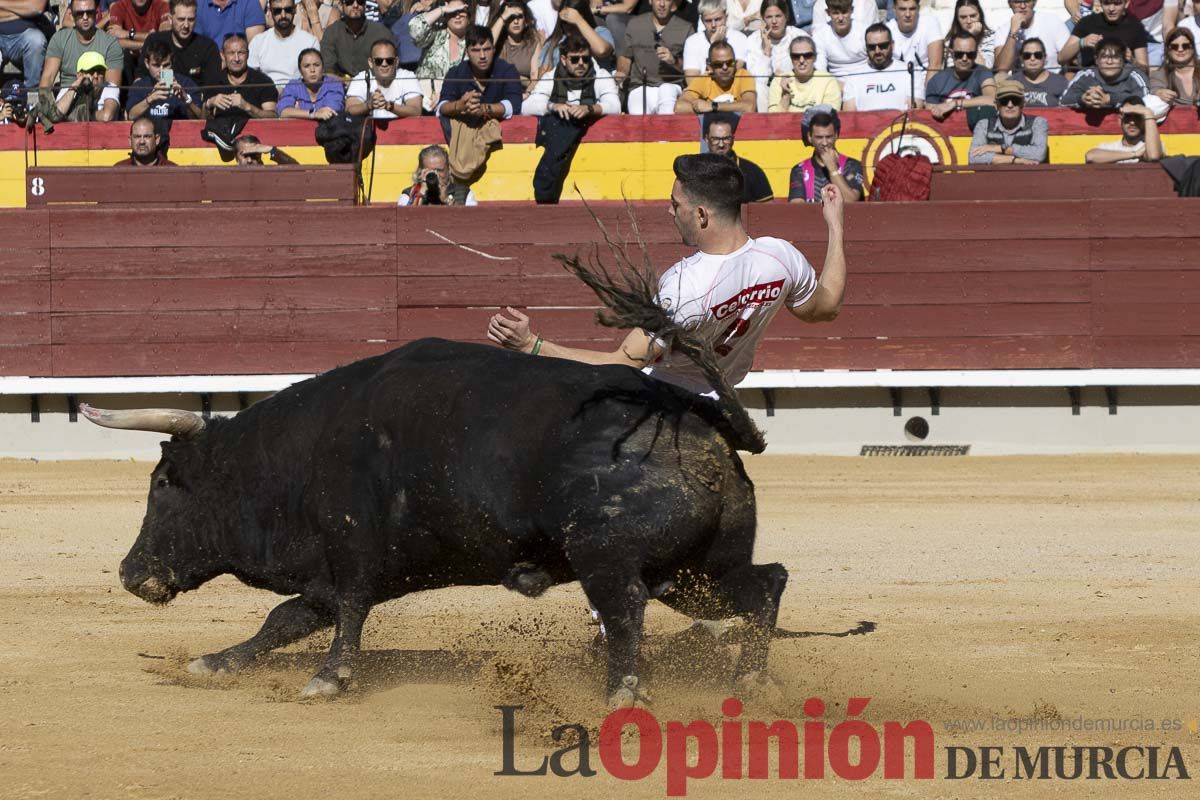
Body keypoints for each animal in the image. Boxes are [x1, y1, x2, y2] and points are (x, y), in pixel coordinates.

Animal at [91, 338, 787, 700]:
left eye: (162, 483)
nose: (128, 572)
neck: (292, 457)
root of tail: (699, 420)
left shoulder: (352, 550)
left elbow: (346, 612)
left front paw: (329, 679)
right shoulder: (327, 573)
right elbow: (284, 620)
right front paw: (215, 663)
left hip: (607, 555)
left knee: (626, 609)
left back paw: (622, 693)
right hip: (694, 571)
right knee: (765, 584)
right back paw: (752, 683)